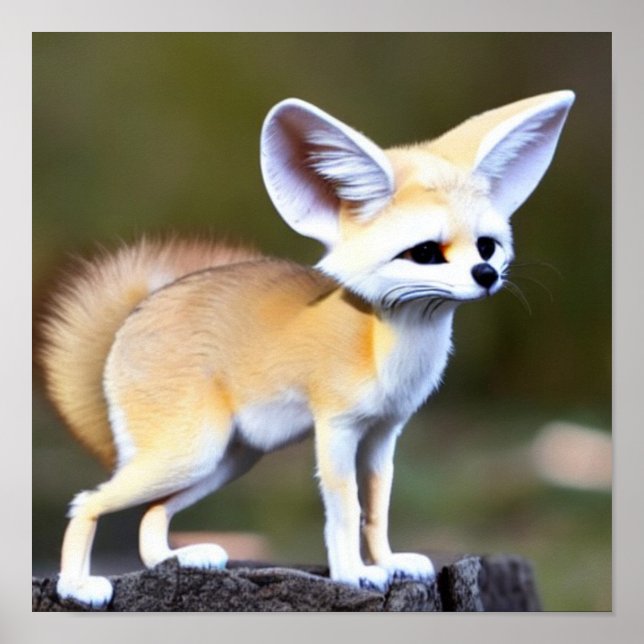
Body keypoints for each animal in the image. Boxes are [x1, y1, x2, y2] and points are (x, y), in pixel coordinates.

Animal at [39, 90, 574, 607]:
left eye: (487, 247)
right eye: (425, 253)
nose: (486, 275)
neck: (382, 345)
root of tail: (138, 312)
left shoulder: (384, 434)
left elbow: (377, 507)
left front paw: (388, 561)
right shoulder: (336, 427)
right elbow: (346, 508)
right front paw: (353, 575)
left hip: (226, 460)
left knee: (150, 515)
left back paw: (179, 559)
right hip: (190, 453)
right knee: (86, 501)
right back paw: (77, 588)